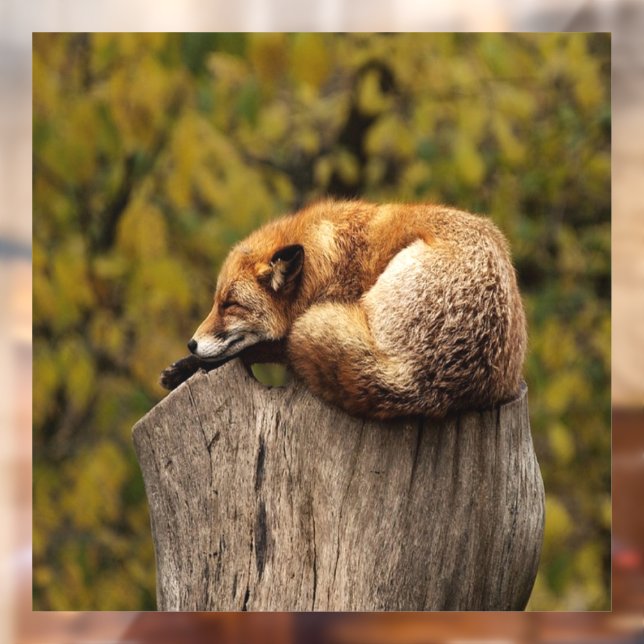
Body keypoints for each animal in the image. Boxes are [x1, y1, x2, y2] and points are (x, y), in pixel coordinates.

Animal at [161, 199, 527, 420]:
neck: (328, 262)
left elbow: (257, 349)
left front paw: (188, 366)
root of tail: (420, 382)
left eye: (230, 305)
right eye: (216, 302)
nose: (191, 343)